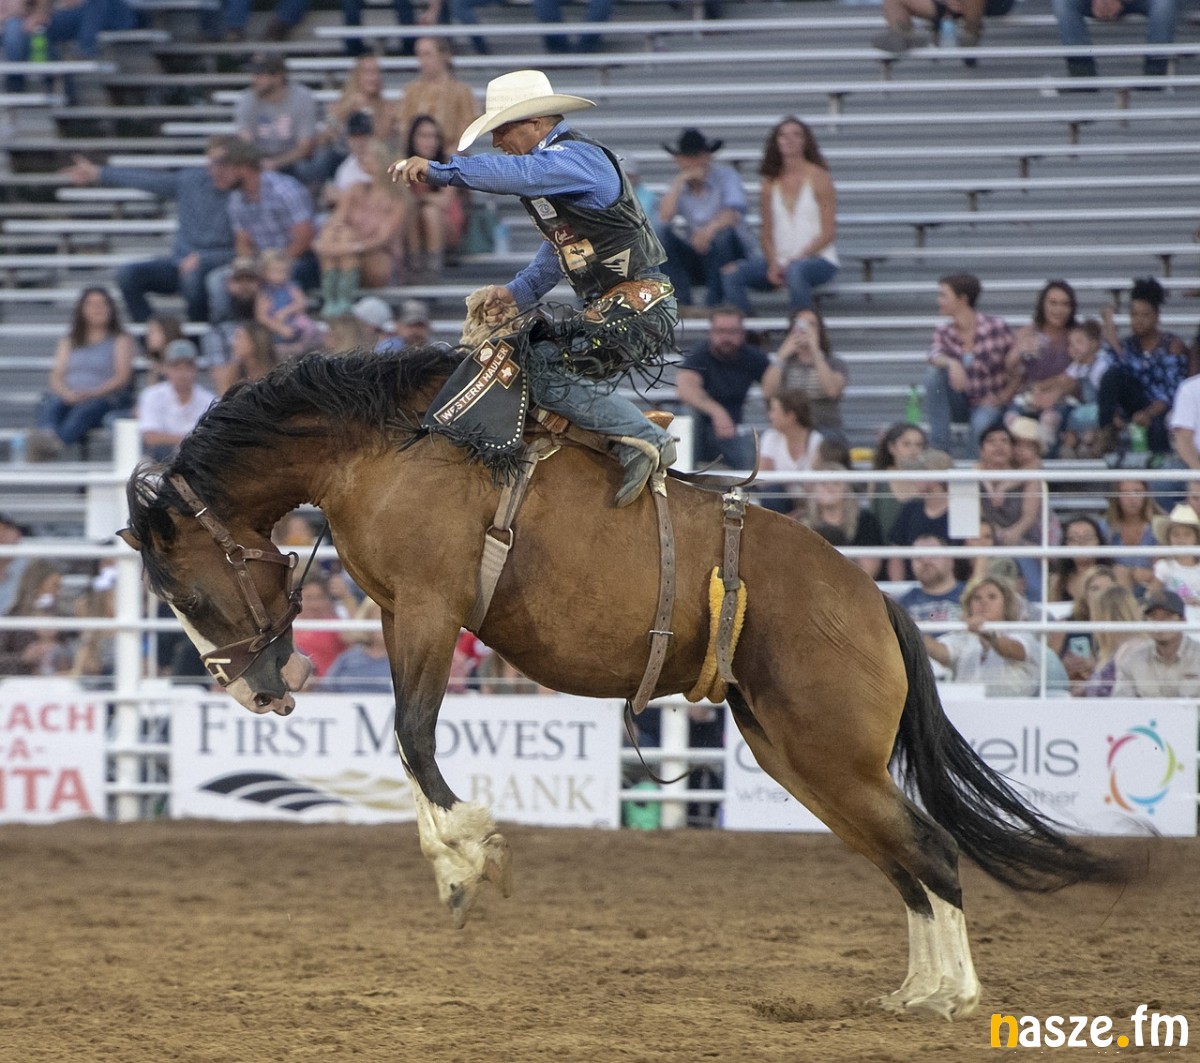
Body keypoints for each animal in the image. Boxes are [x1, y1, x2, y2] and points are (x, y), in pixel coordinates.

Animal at [119, 348, 1122, 1020]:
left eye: (191, 594)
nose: (252, 693)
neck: (393, 444)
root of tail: (874, 599)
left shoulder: (432, 606)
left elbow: (413, 732)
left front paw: (471, 855)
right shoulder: (405, 613)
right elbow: (406, 739)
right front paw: (453, 865)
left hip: (829, 754)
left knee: (932, 849)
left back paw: (954, 993)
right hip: (802, 757)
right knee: (903, 858)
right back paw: (918, 988)